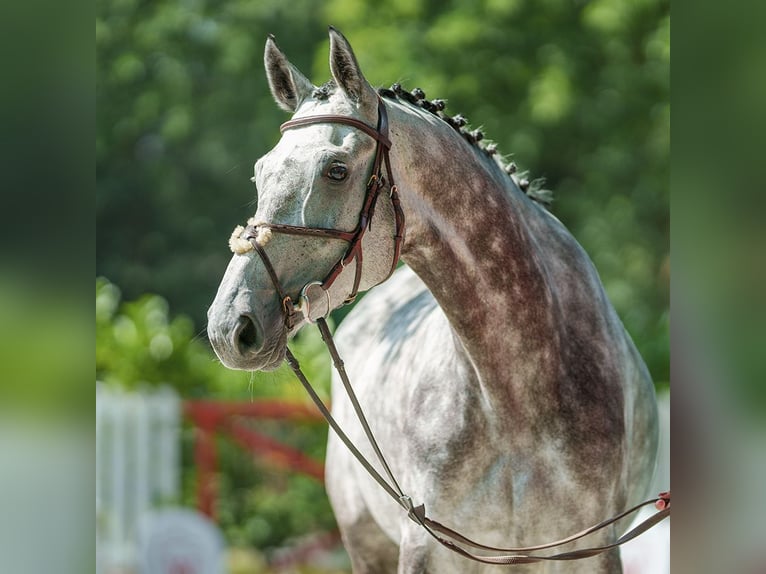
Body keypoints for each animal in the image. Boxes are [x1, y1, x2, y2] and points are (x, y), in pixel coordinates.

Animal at [208, 28, 660, 574]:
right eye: (260, 173)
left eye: (336, 170)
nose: (229, 328)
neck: (517, 401)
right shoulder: (424, 548)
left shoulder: (593, 552)